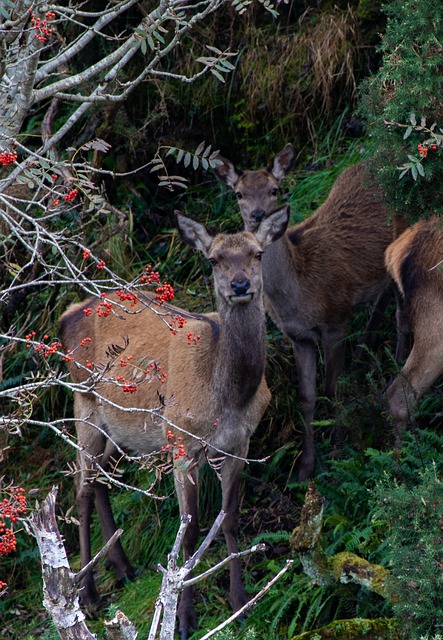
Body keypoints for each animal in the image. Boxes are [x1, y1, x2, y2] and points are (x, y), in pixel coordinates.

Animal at [58, 208, 288, 636]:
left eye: (258, 252)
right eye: (213, 259)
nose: (240, 285)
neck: (228, 397)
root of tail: (67, 315)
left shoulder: (240, 442)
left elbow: (229, 519)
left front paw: (240, 602)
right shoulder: (183, 441)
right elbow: (190, 530)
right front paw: (183, 619)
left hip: (124, 426)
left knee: (102, 478)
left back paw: (124, 567)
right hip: (85, 402)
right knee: (81, 486)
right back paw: (89, 595)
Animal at [215, 145, 410, 482]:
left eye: (274, 189)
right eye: (239, 193)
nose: (257, 216)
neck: (299, 296)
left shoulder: (336, 322)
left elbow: (332, 390)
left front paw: (336, 454)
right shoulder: (298, 336)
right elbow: (306, 396)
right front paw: (306, 467)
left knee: (400, 312)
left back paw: (393, 363)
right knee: (383, 297)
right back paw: (365, 349)